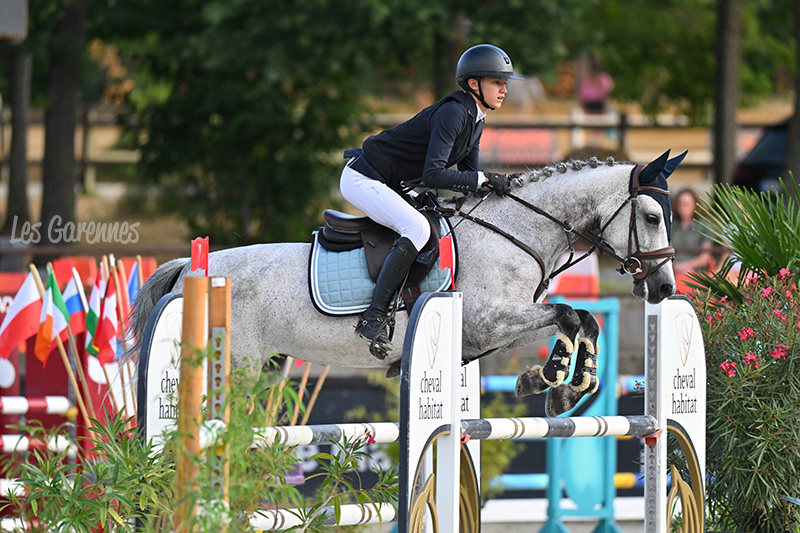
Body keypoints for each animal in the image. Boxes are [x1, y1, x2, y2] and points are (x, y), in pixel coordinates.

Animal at [128, 150, 685, 417]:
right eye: (653, 217)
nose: (663, 288)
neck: (519, 232)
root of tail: (189, 270)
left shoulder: (500, 327)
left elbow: (583, 320)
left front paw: (563, 386)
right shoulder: (489, 321)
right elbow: (570, 315)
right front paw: (552, 381)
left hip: (263, 363)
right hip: (237, 362)